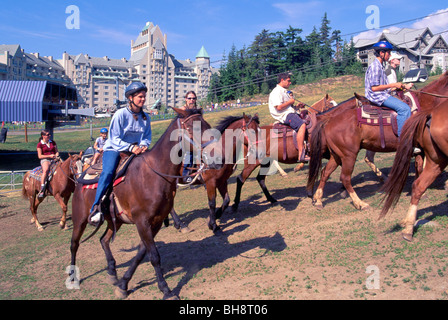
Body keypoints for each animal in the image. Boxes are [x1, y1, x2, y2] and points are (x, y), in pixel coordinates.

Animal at [70, 108, 215, 300]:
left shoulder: (156, 222)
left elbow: (141, 253)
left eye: (206, 124)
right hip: (79, 219)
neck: (154, 174)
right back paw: (73, 276)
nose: (214, 154)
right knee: (74, 244)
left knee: (103, 240)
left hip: (114, 221)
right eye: (193, 127)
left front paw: (123, 285)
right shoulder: (142, 222)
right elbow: (154, 256)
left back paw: (112, 273)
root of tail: (80, 176)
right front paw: (166, 290)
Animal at [306, 72, 448, 211]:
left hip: (336, 155)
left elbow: (419, 167)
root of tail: (329, 120)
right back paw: (360, 203)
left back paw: (318, 200)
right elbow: (420, 166)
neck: (426, 103)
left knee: (325, 172)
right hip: (348, 155)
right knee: (345, 178)